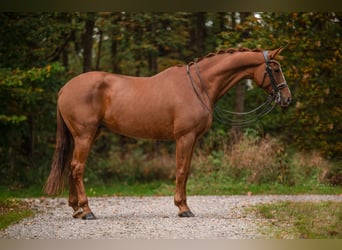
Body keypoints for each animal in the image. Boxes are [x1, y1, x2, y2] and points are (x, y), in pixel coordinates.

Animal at [44, 47, 292, 219]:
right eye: (276, 69)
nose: (287, 99)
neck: (198, 87)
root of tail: (66, 88)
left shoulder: (191, 140)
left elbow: (186, 170)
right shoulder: (185, 137)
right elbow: (181, 170)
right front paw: (183, 208)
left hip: (85, 136)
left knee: (72, 168)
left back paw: (76, 209)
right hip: (85, 136)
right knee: (77, 168)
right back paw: (87, 211)